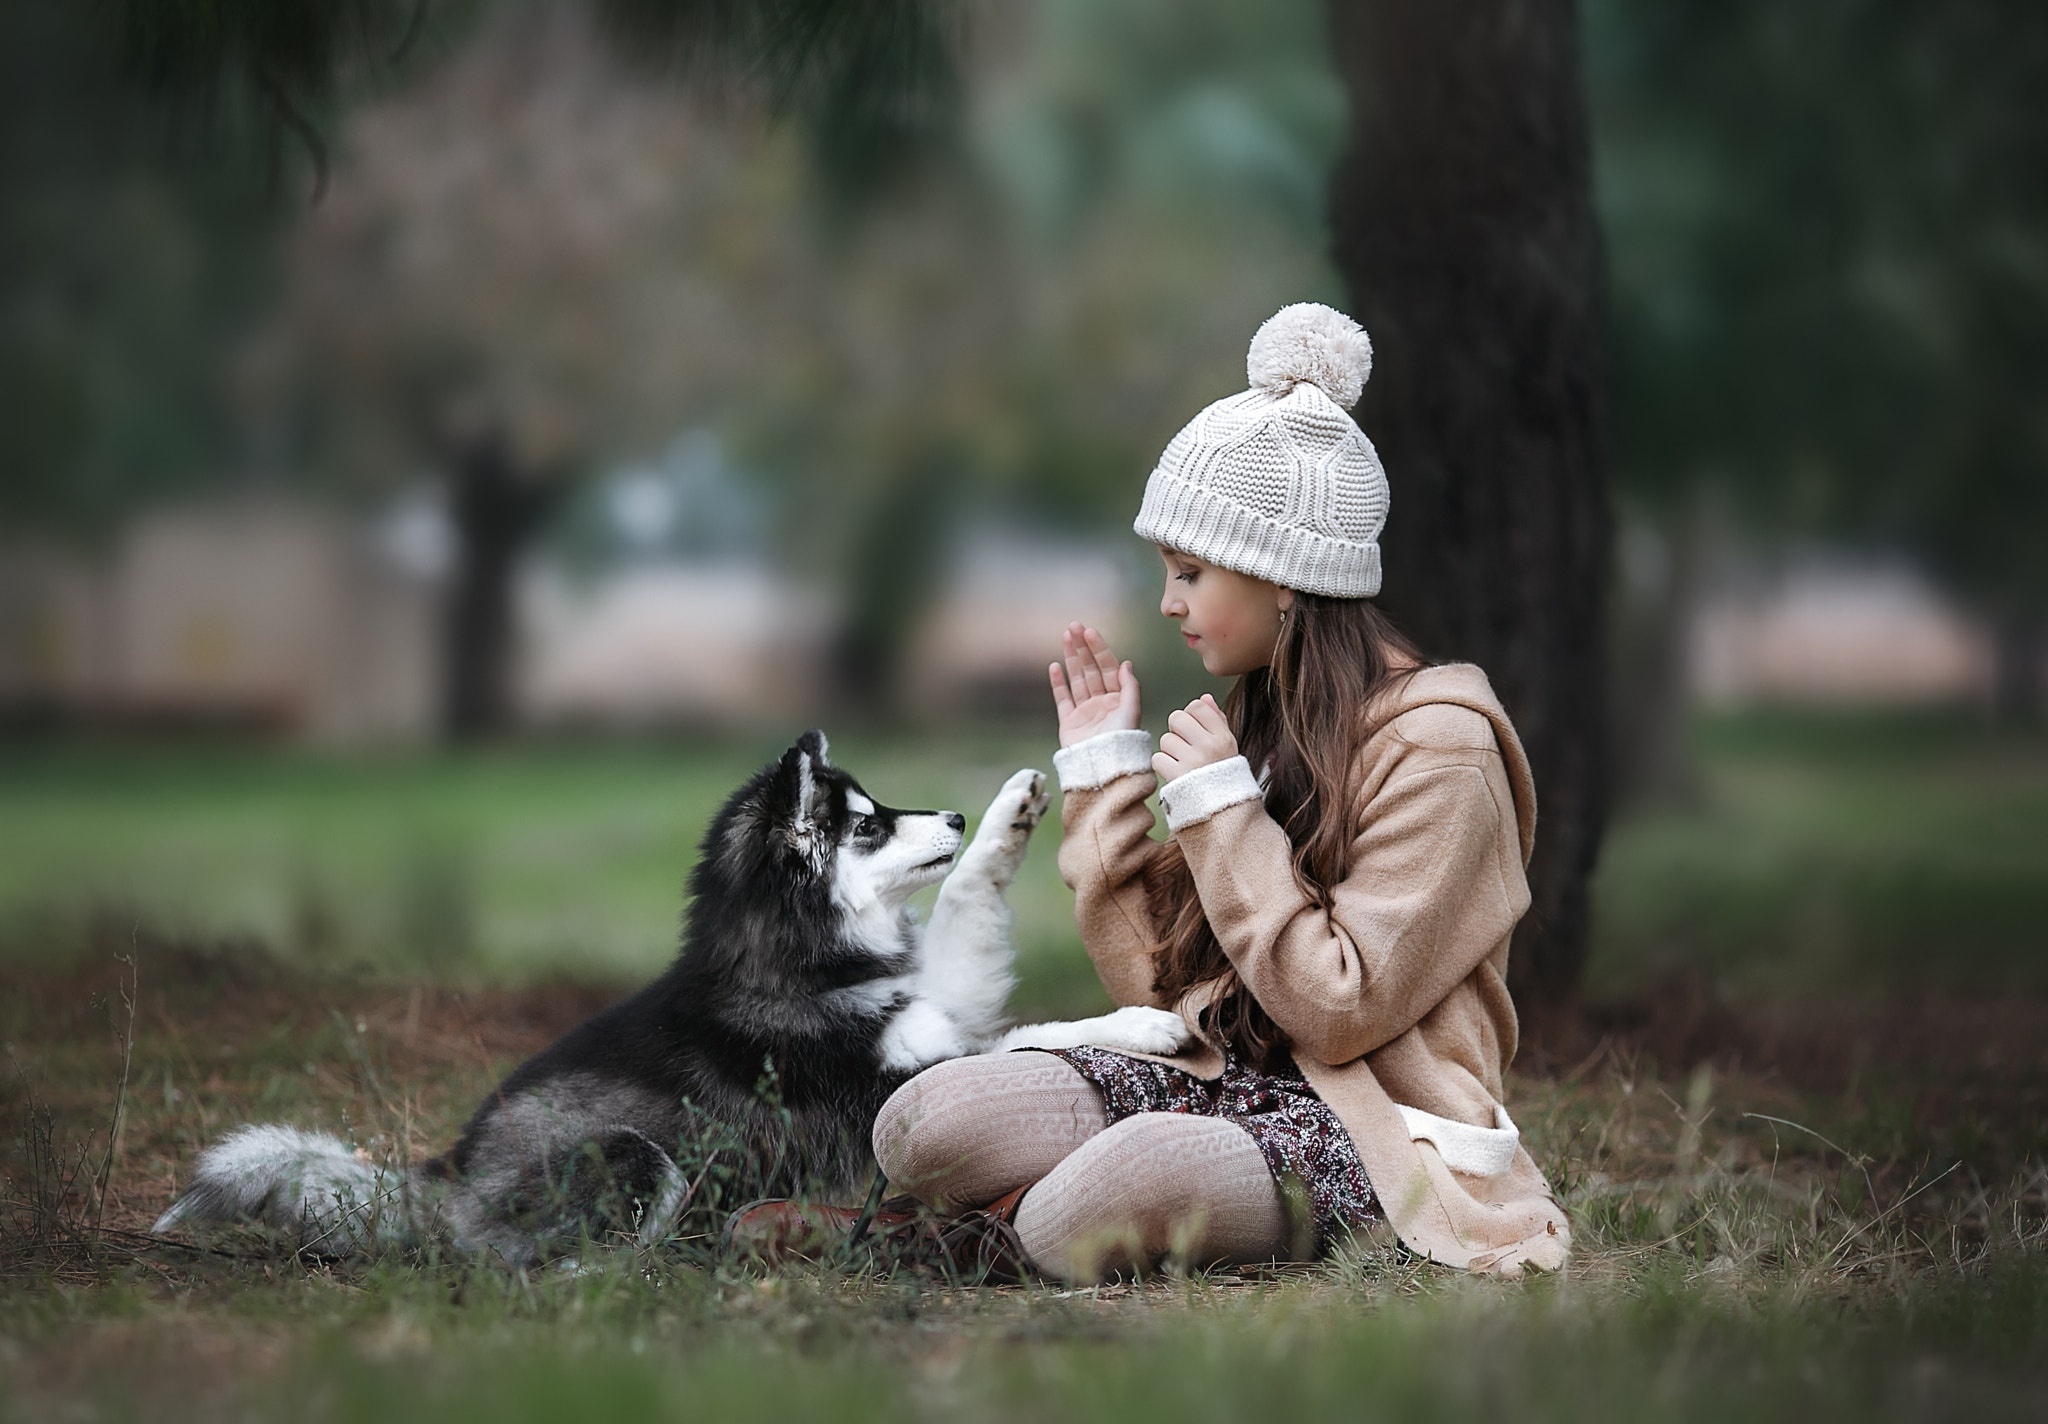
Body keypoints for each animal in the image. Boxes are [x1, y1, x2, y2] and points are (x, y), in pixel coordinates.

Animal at [151, 733, 1196, 1270]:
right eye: (865, 826)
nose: (948, 812)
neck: (798, 961)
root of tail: (447, 1176)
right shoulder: (900, 1073)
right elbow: (1033, 1033)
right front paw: (1142, 1024)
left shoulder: (940, 1001)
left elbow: (969, 912)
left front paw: (1010, 816)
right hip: (634, 1157)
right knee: (542, 1265)